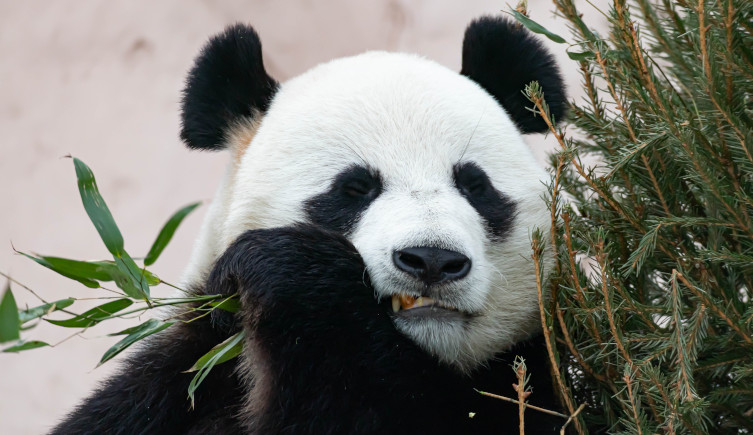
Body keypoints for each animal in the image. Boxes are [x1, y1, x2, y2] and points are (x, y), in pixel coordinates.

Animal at [52, 16, 567, 435]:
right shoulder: (182, 378)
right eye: (354, 188)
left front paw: (299, 276)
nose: (432, 259)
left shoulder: (534, 377)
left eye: (475, 186)